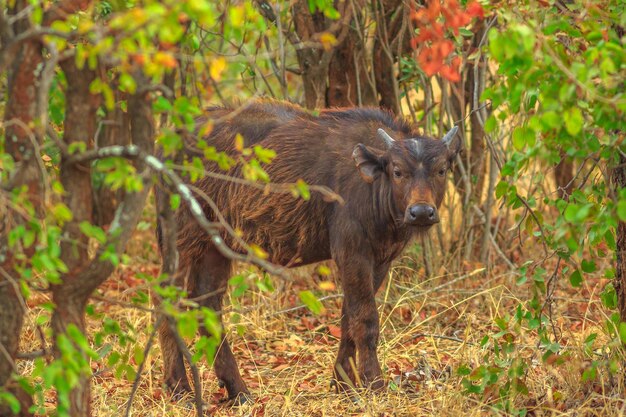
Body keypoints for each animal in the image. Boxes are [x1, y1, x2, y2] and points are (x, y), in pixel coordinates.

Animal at [156, 100, 458, 404]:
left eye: (441, 169)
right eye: (397, 170)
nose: (421, 212)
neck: (373, 188)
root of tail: (165, 145)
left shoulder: (381, 259)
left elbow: (348, 318)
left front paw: (343, 383)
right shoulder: (352, 252)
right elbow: (366, 319)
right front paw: (375, 384)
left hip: (216, 248)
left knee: (207, 306)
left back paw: (238, 389)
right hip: (182, 241)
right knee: (166, 302)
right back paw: (179, 387)